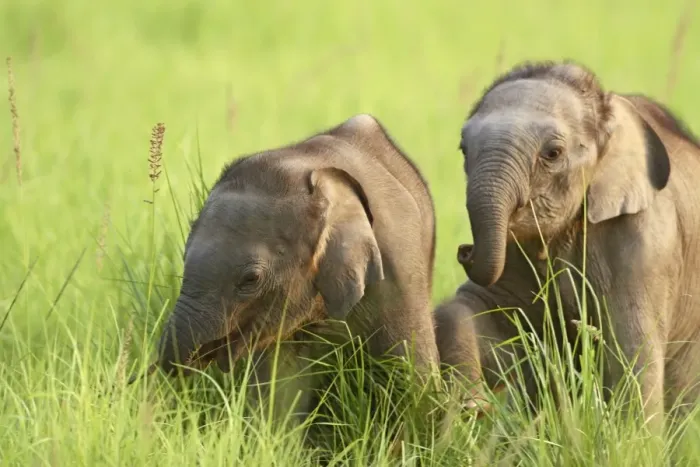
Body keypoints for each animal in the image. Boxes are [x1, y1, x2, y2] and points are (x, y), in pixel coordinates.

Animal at [434, 60, 700, 432]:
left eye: (553, 153)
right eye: (462, 149)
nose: (464, 250)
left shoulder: (647, 246)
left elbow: (634, 352)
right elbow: (480, 310)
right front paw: (470, 404)